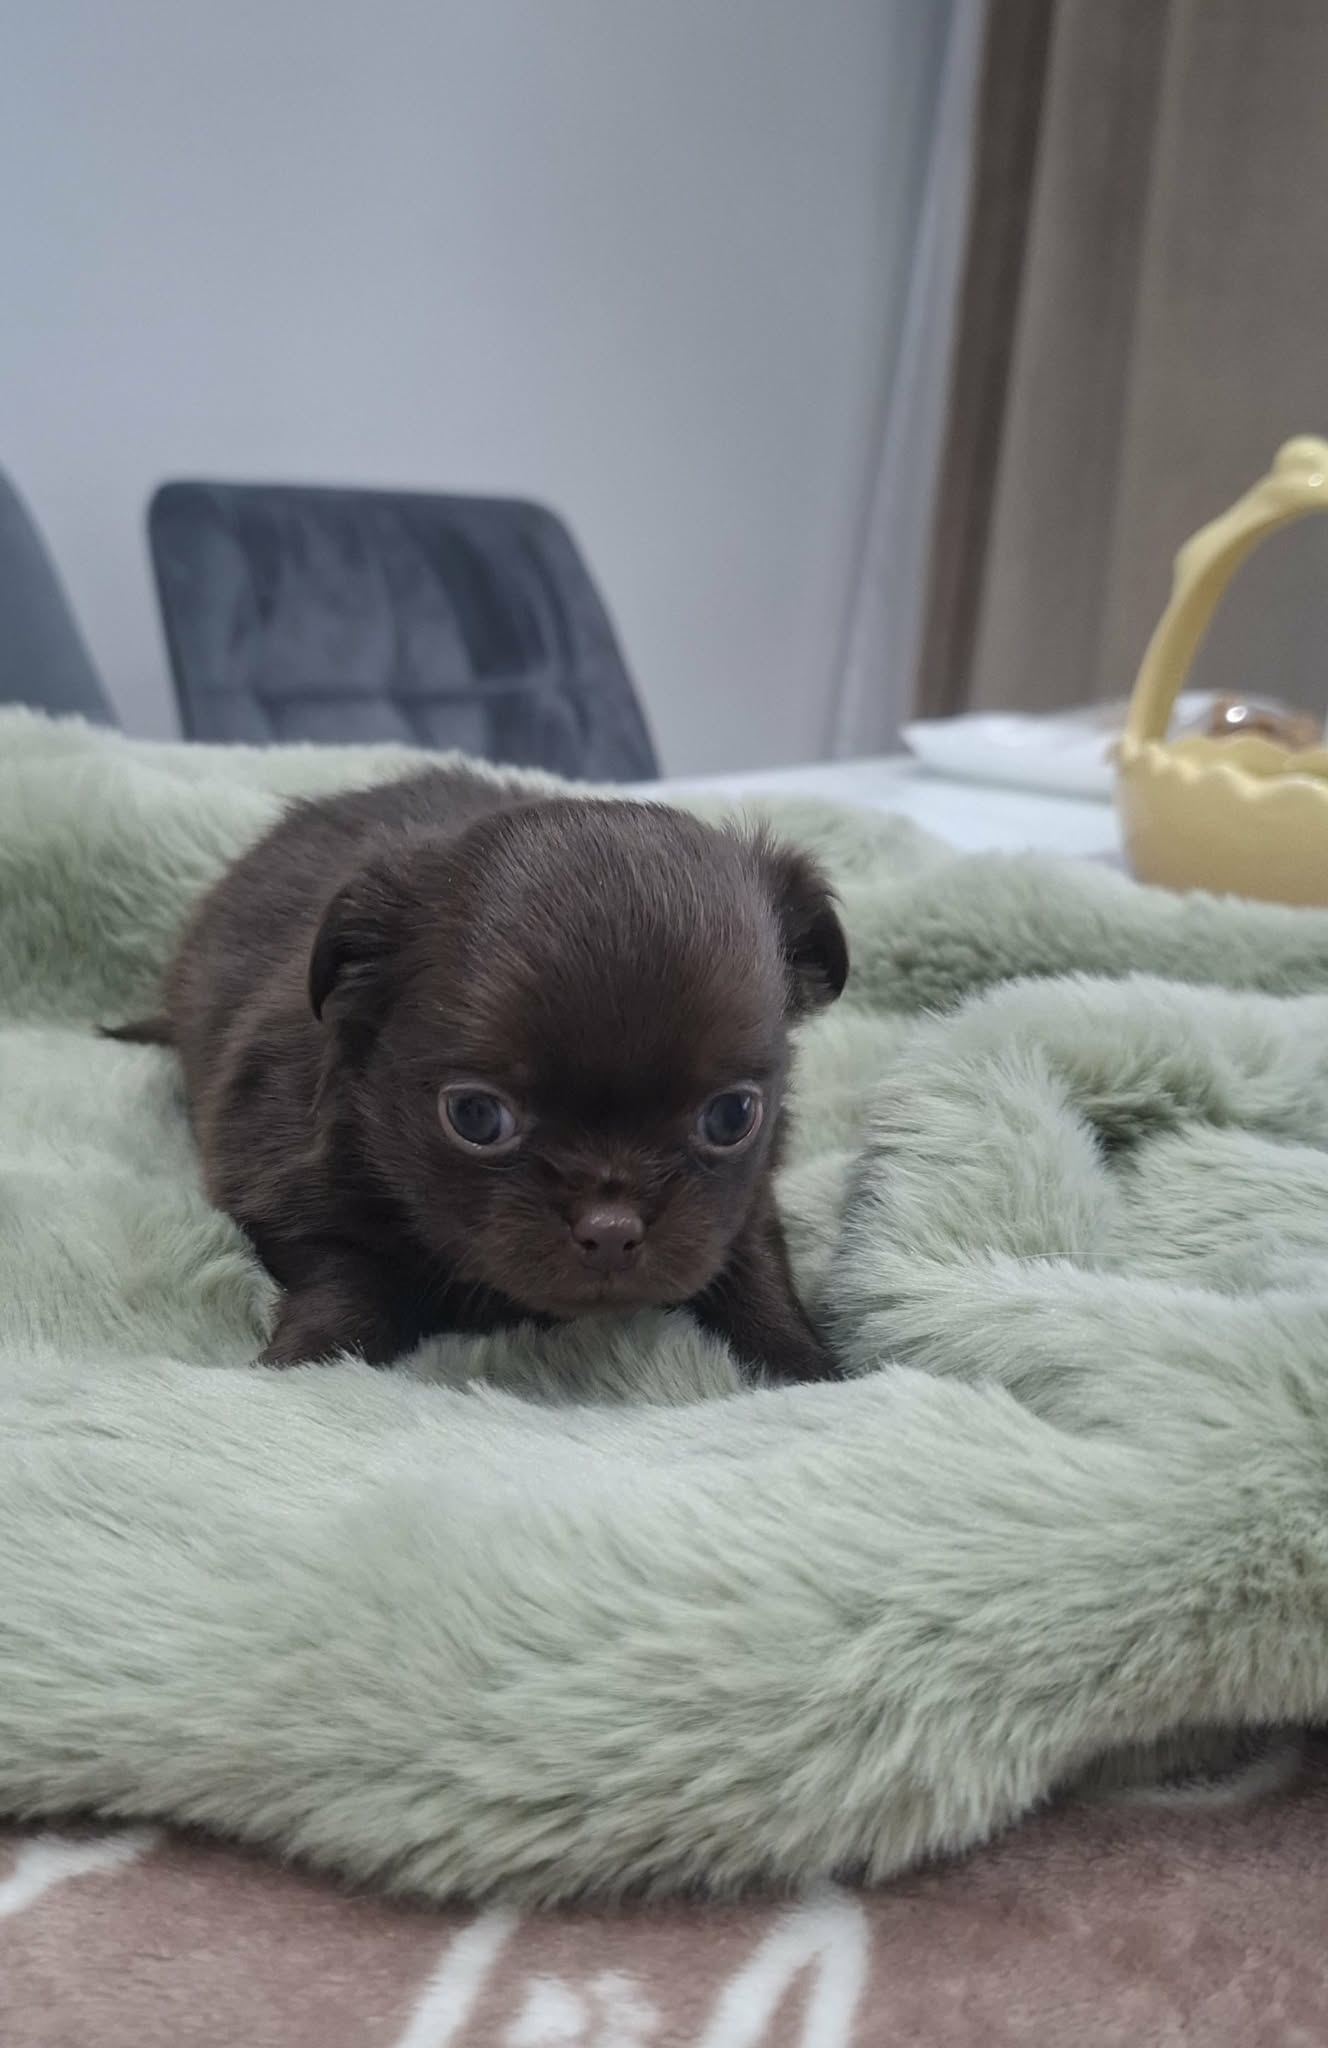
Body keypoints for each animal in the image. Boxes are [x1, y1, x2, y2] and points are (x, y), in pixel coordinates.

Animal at [111, 769, 849, 1381]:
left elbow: (754, 1267)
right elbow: (345, 1278)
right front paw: (303, 1362)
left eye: (731, 1115)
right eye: (475, 1116)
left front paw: (804, 1365)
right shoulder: (283, 1185)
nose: (611, 1229)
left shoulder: (740, 1208)